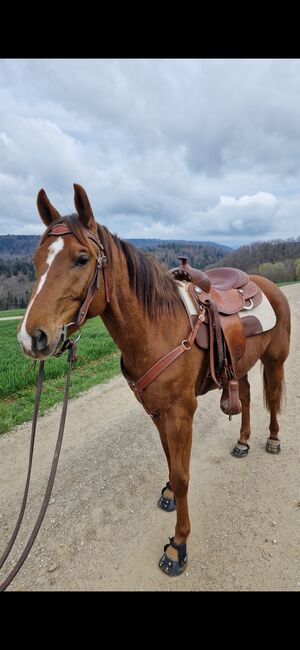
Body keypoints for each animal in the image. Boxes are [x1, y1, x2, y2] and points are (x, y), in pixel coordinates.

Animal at [17, 185, 290, 576]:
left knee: (274, 395)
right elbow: (170, 464)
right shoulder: (157, 412)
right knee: (249, 398)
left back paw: (272, 439)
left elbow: (182, 474)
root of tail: (268, 285)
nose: (32, 338)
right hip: (240, 368)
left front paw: (179, 545)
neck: (158, 326)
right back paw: (242, 442)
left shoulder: (180, 413)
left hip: (275, 360)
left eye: (82, 259)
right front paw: (170, 497)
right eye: (38, 260)